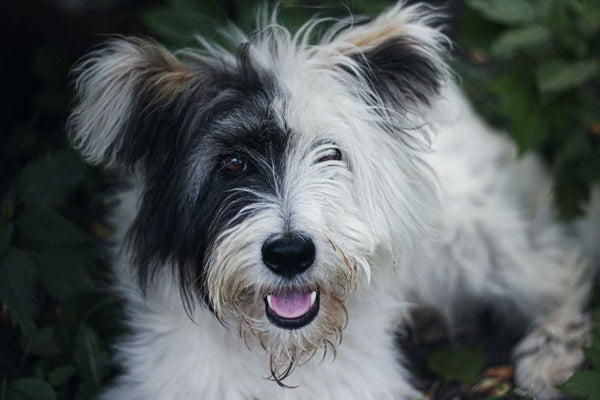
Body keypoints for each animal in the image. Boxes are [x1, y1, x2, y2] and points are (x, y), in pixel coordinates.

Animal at [67, 3, 600, 400]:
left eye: (330, 154)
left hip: (469, 244)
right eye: (233, 163)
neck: (283, 354)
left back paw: (549, 358)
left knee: (559, 268)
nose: (289, 254)